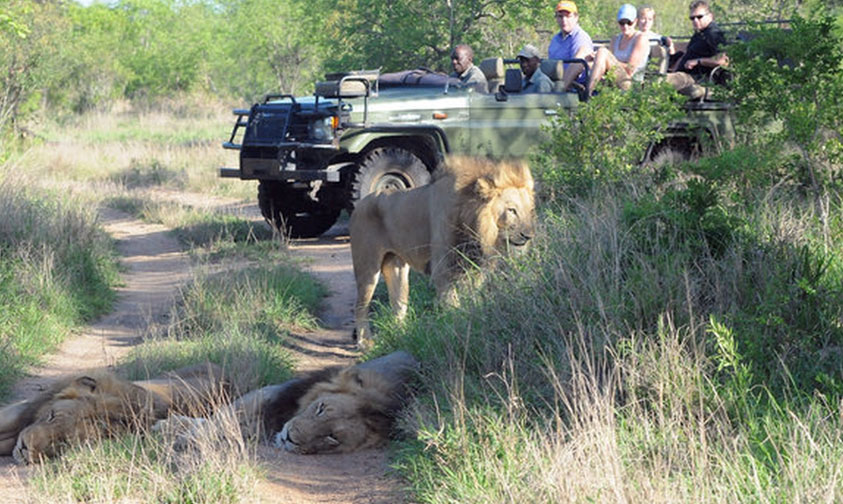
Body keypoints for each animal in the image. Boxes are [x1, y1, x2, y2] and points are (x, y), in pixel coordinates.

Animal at [352, 157, 536, 346]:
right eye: (512, 210)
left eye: (529, 211)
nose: (529, 236)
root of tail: (360, 205)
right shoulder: (443, 270)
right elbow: (452, 305)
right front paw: (455, 327)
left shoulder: (474, 270)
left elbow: (473, 299)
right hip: (367, 268)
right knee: (360, 306)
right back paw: (365, 343)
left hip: (397, 267)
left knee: (398, 304)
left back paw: (400, 335)